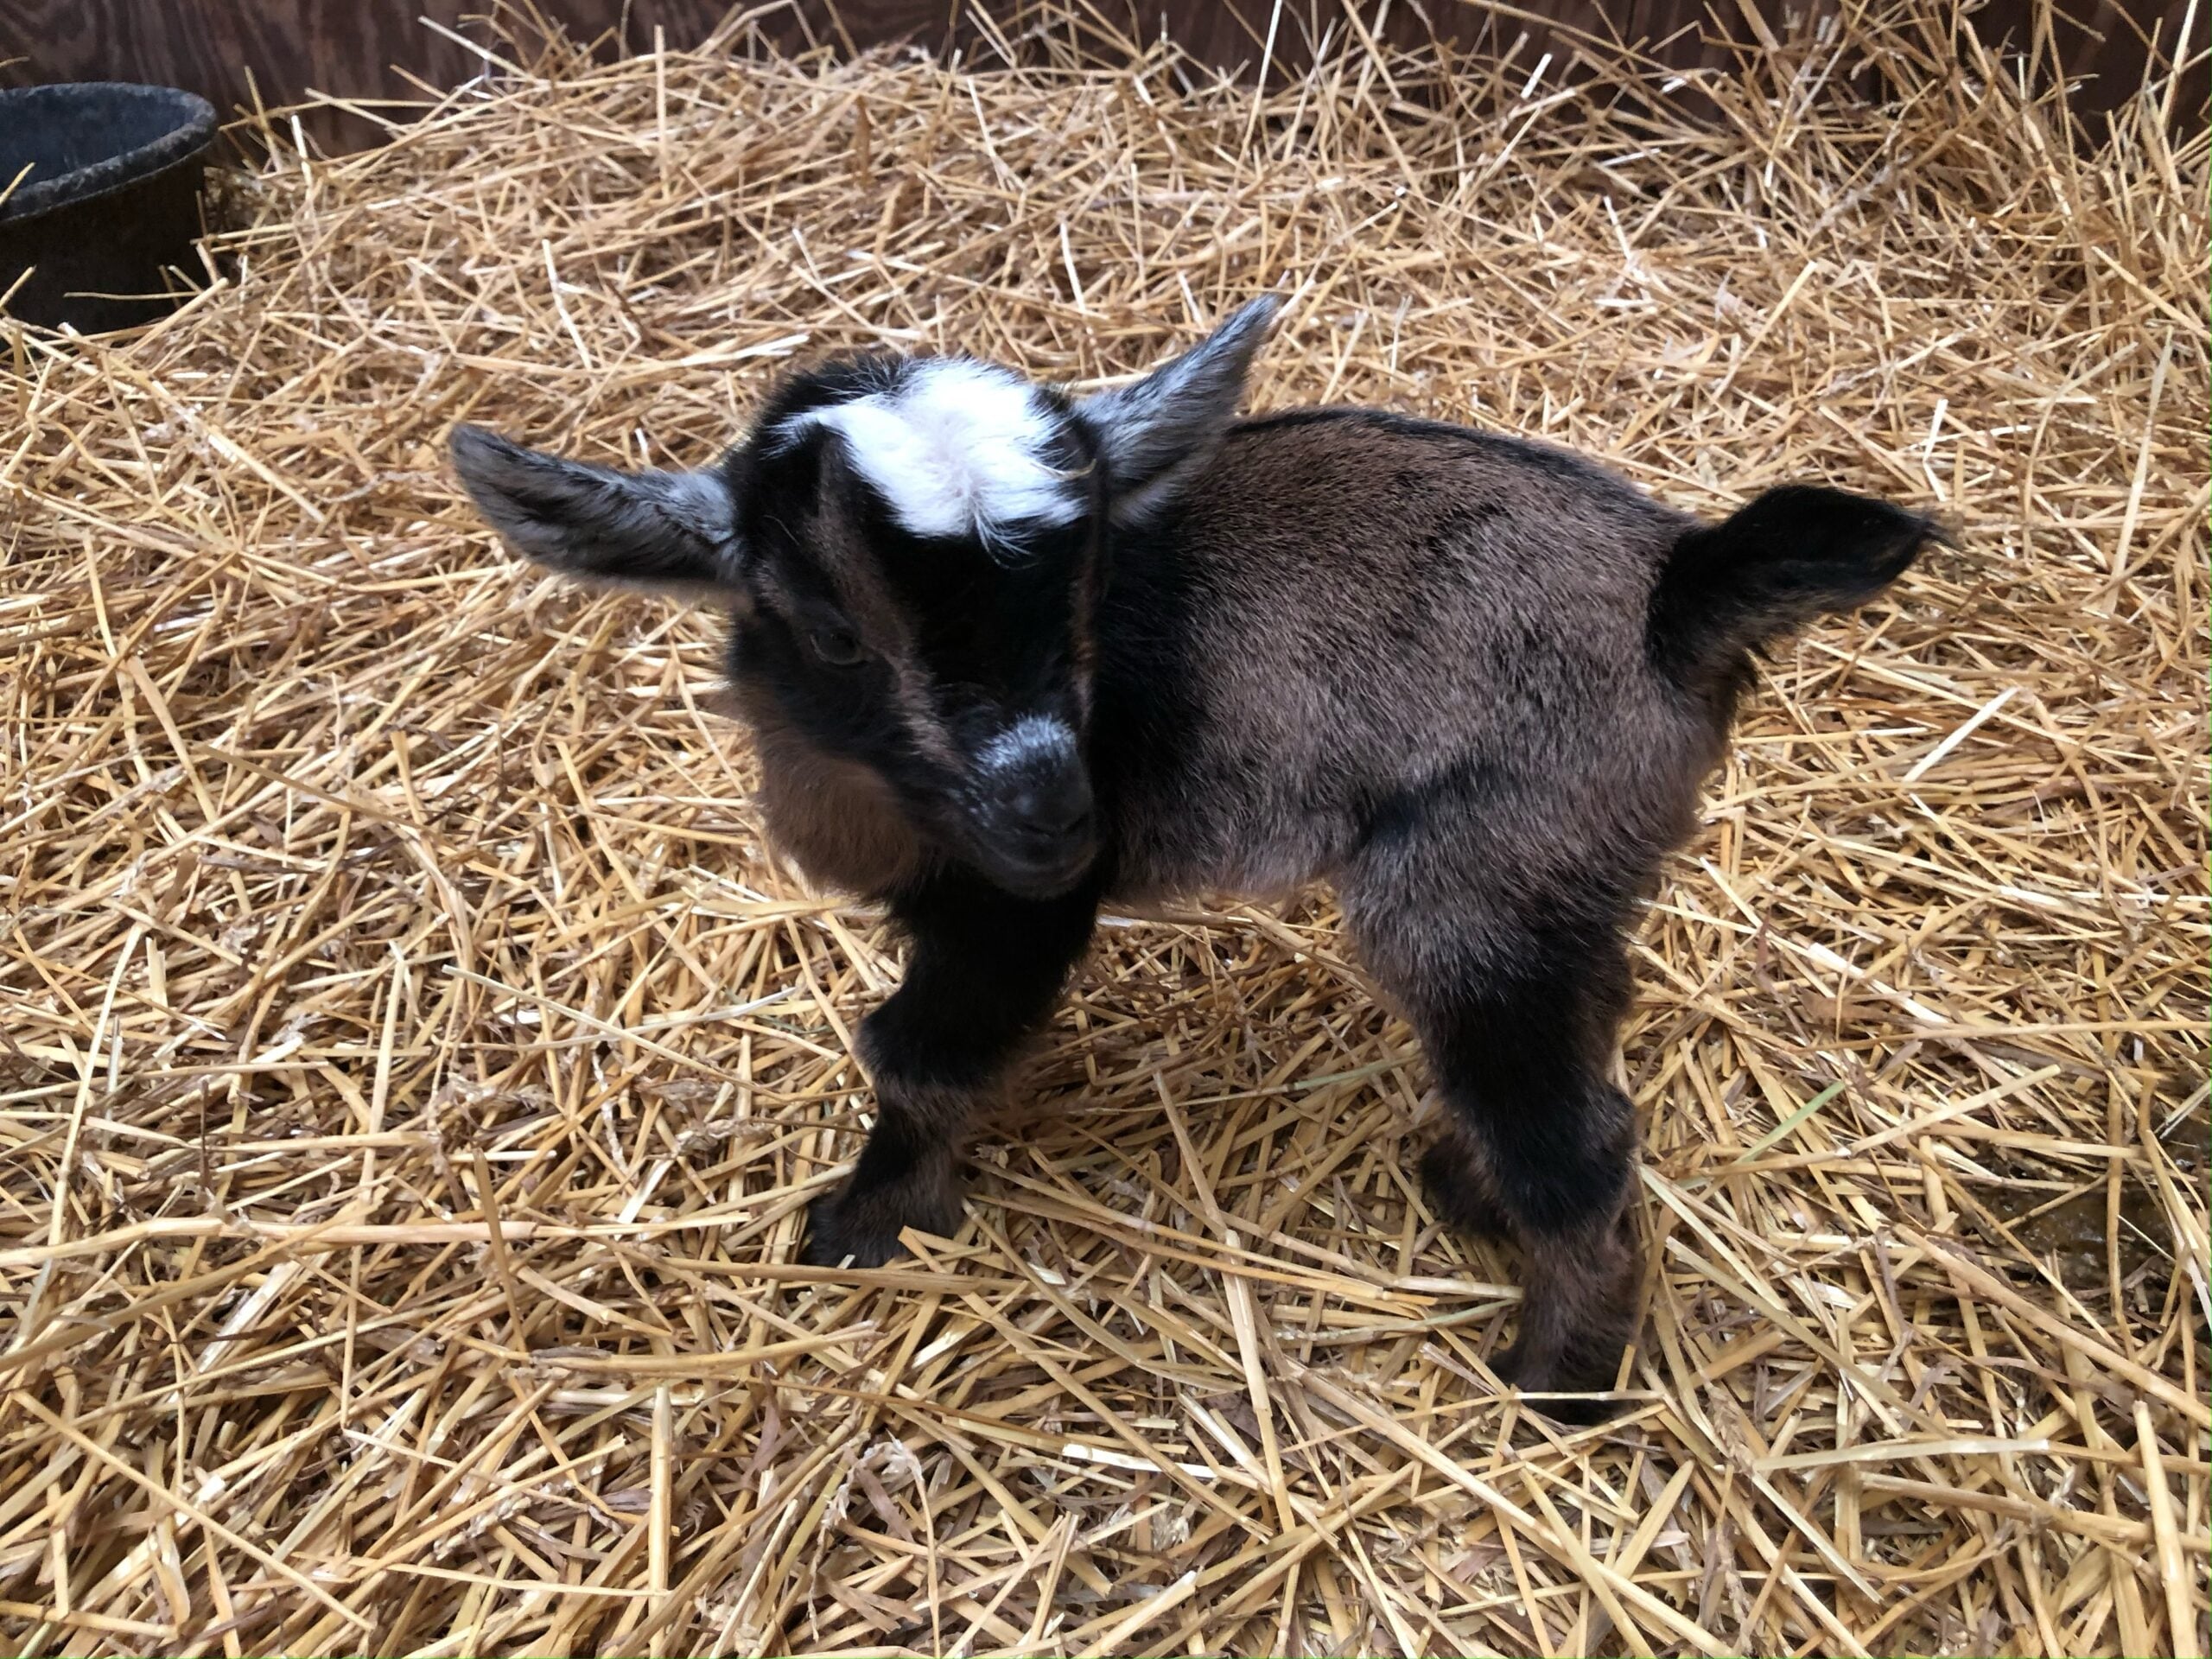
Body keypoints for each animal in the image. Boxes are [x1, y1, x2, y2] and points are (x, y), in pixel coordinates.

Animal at [451, 298, 1937, 1420]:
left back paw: (1553, 1379)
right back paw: (1471, 1193)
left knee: (1570, 1131)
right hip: (1578, 868)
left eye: (1087, 599)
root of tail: (1676, 586)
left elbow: (921, 1053)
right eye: (832, 632)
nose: (1056, 819)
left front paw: (870, 1225)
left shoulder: (1008, 915)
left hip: (1475, 879)